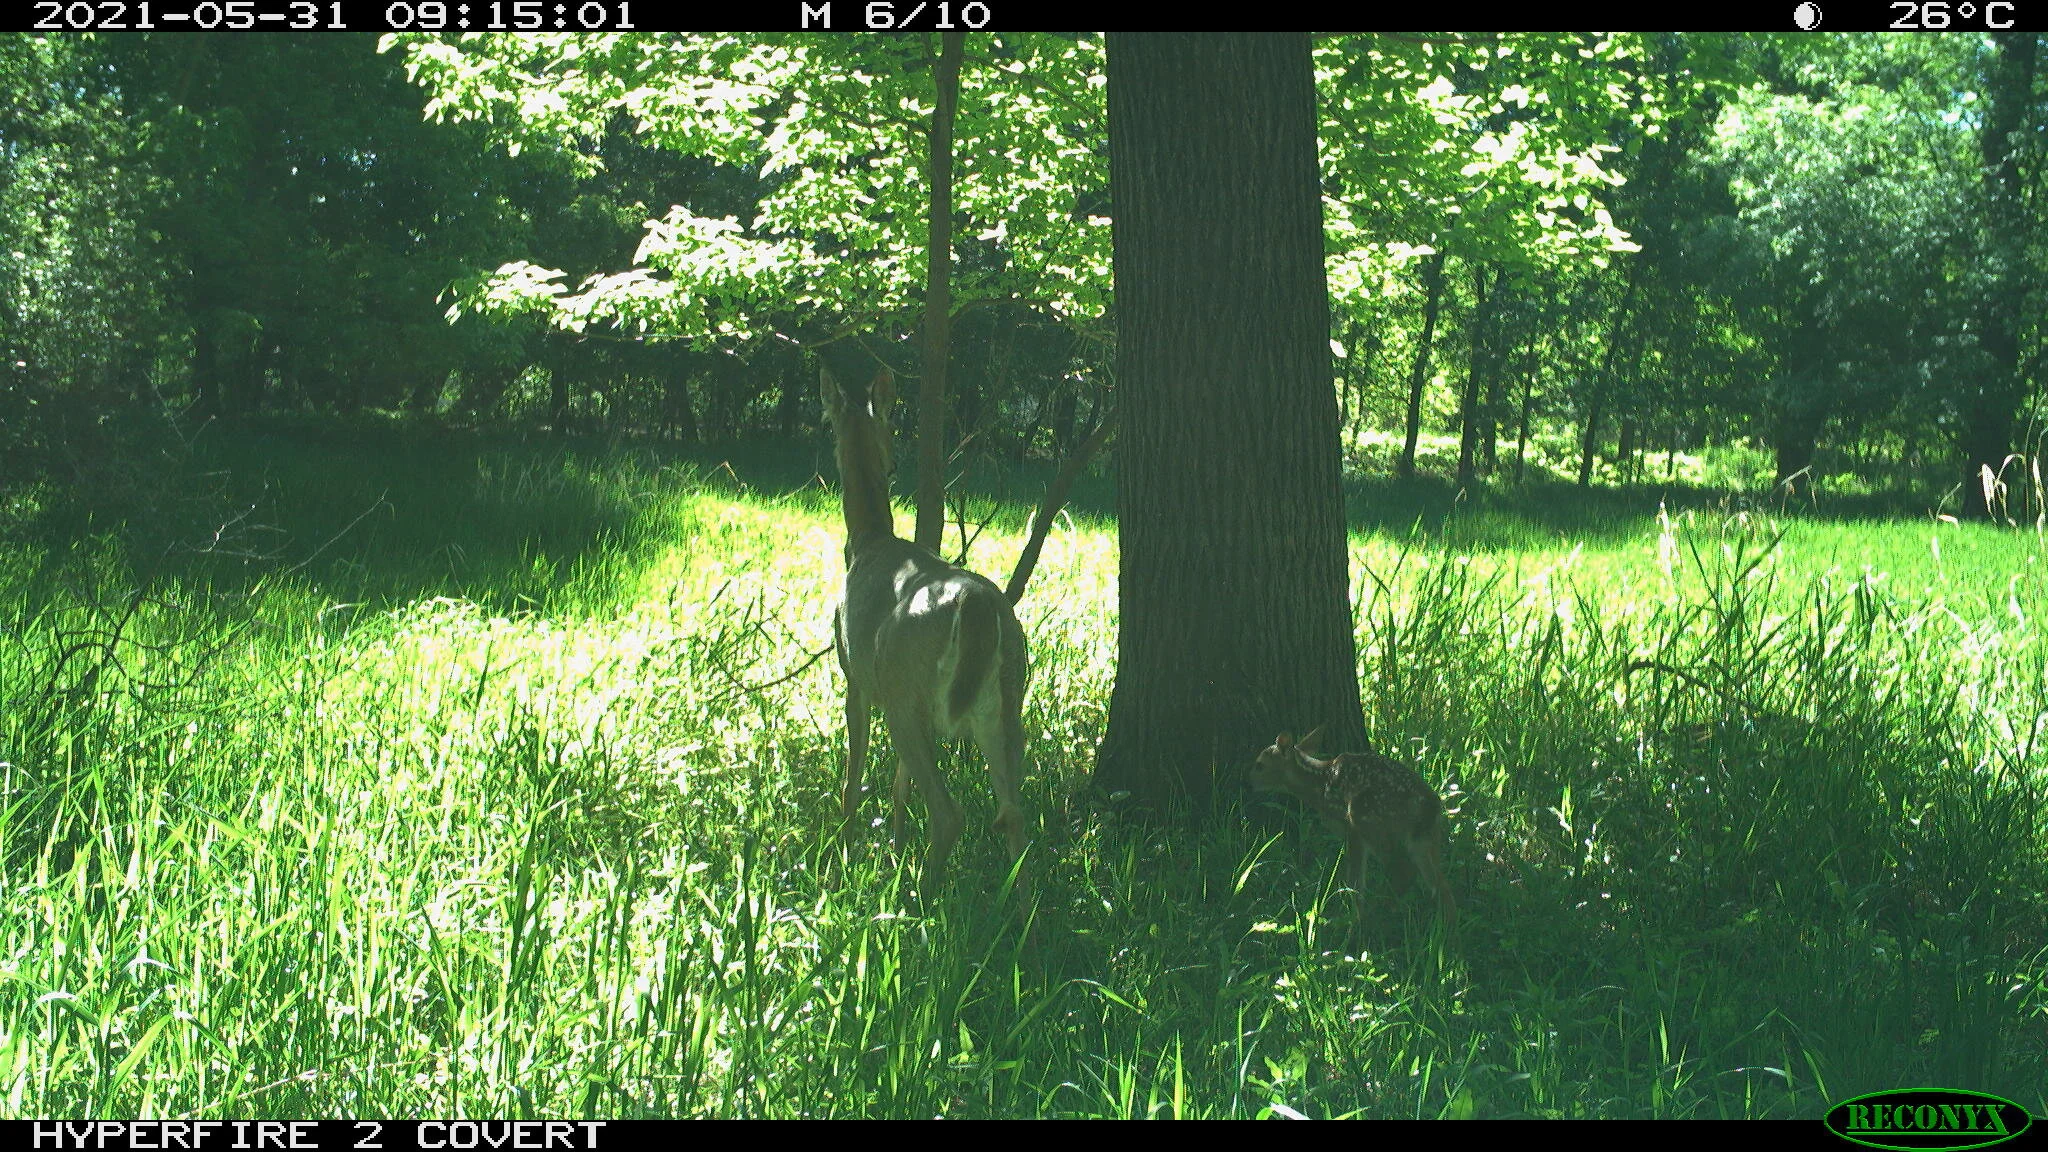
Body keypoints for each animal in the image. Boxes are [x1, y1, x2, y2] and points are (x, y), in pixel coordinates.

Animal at [820, 364, 1032, 899]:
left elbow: (854, 776)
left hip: (903, 692)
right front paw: (895, 847)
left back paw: (920, 904)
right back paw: (1023, 914)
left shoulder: (856, 676)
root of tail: (976, 605)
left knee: (950, 814)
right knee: (1014, 812)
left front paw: (846, 853)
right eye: (892, 425)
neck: (867, 540)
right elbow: (899, 786)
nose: (895, 462)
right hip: (1005, 699)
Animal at [1249, 728, 1456, 931]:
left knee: (1404, 870)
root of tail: (1428, 807)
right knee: (1439, 883)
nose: (1247, 782)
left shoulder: (1351, 830)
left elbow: (1355, 880)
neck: (1318, 786)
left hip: (1368, 819)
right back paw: (1445, 926)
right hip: (1427, 837)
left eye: (1259, 765)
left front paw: (1354, 916)